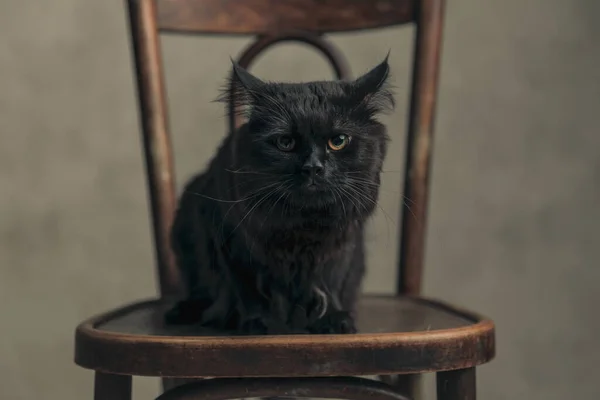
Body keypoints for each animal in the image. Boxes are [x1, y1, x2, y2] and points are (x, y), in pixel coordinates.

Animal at [164, 56, 394, 334]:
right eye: (285, 143)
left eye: (338, 141)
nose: (313, 167)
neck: (301, 226)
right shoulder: (230, 240)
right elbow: (248, 290)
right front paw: (261, 323)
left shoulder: (340, 244)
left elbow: (328, 282)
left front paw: (333, 319)